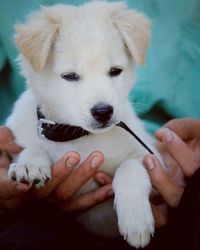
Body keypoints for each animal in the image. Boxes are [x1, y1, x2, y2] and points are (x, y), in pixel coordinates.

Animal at [6, 0, 161, 248]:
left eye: (115, 71)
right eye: (70, 76)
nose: (103, 111)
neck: (77, 136)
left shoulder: (154, 159)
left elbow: (130, 167)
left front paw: (136, 220)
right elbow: (31, 148)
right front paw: (29, 165)